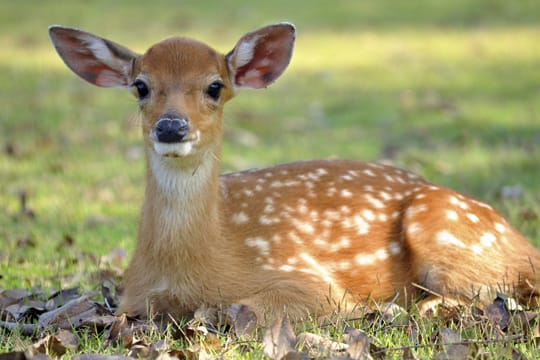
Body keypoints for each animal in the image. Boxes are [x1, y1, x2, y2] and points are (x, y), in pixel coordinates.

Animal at [48, 22, 536, 320]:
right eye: (140, 86)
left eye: (214, 86)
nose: (171, 126)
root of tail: (525, 246)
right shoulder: (131, 298)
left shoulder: (306, 278)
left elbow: (238, 310)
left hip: (445, 229)